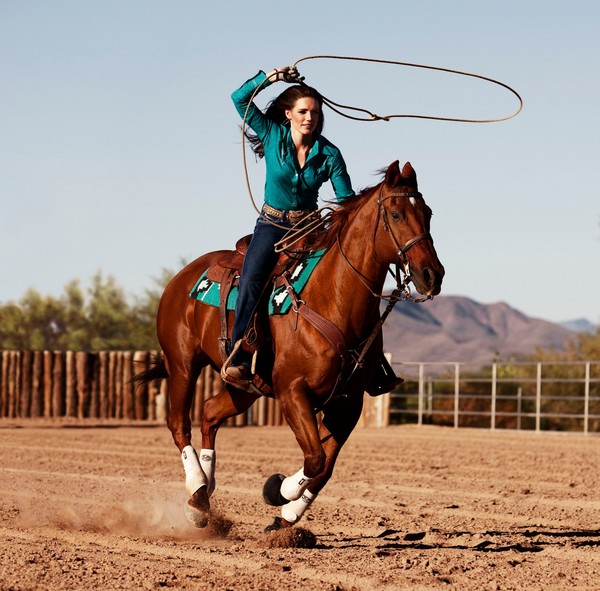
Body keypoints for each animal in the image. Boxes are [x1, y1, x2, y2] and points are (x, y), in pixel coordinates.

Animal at [136, 160, 446, 528]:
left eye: (427, 213)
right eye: (396, 214)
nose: (432, 275)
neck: (333, 299)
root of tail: (181, 277)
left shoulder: (348, 402)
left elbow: (324, 467)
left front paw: (287, 515)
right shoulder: (292, 391)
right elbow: (314, 458)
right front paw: (278, 490)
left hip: (246, 387)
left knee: (210, 412)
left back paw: (203, 498)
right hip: (183, 364)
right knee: (178, 422)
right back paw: (197, 486)